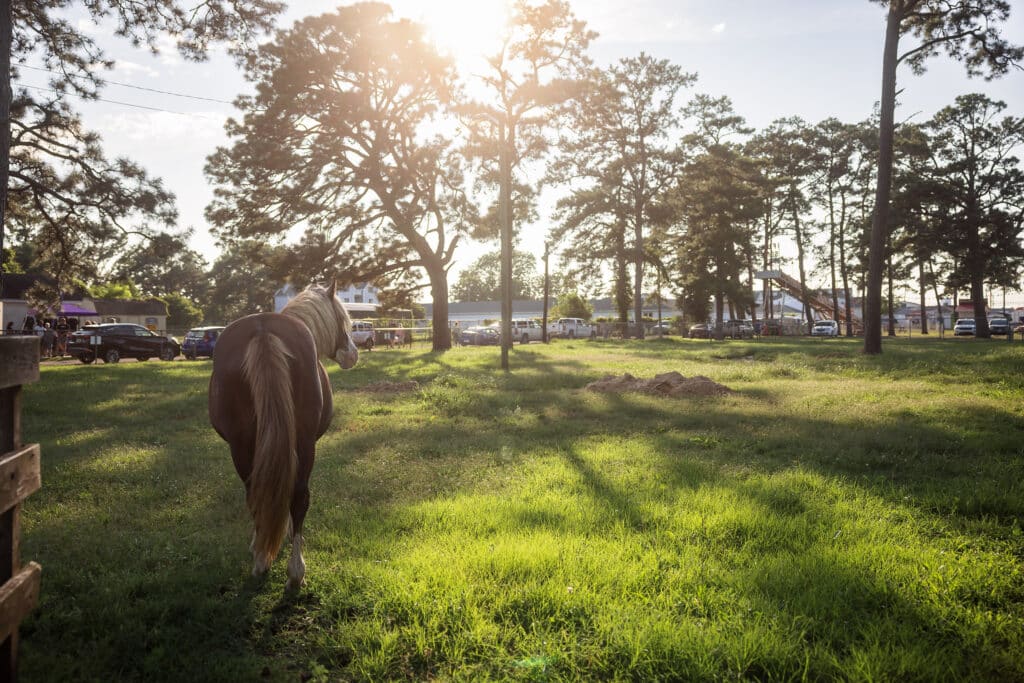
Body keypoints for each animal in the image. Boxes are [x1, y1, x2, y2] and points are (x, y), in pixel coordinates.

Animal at [205, 280, 358, 589]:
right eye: (342, 319)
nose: (353, 353)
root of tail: (263, 331)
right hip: (302, 442)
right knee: (298, 496)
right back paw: (293, 570)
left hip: (242, 446)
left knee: (257, 493)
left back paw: (263, 559)